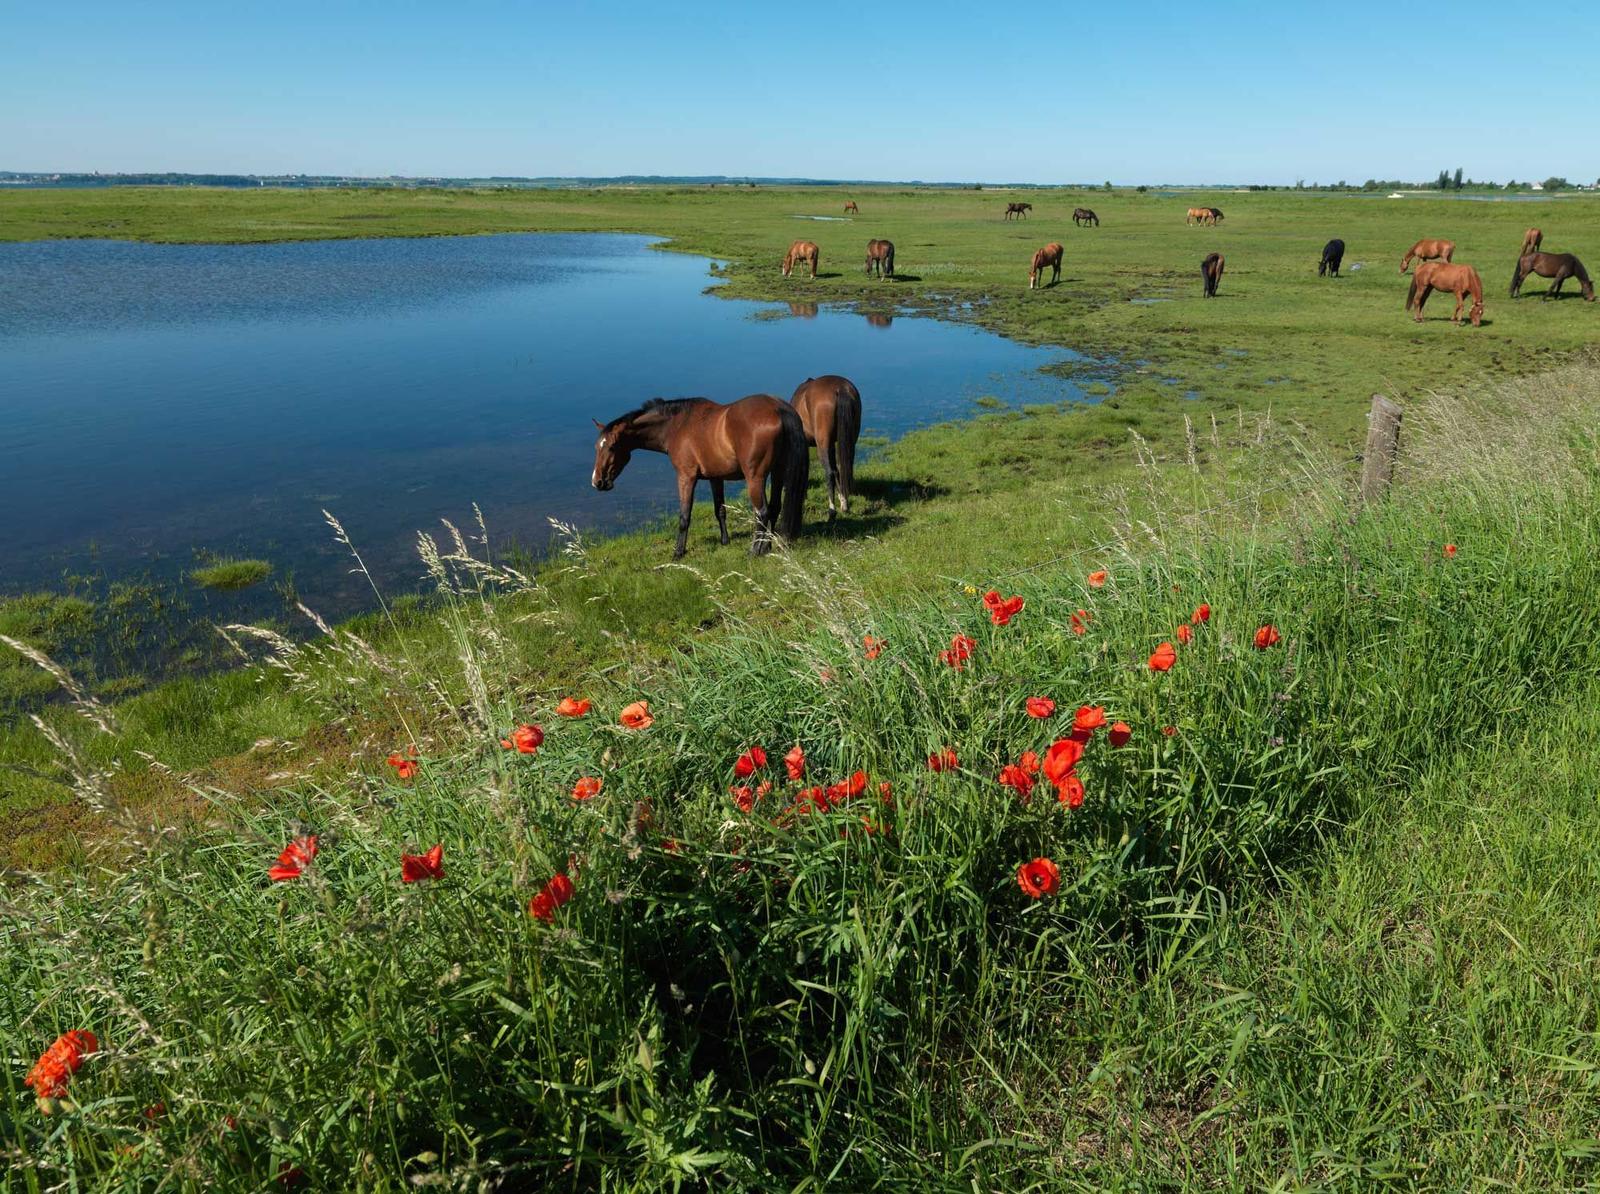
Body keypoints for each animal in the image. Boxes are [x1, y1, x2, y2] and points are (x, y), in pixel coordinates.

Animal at [592, 395, 809, 558]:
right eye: (597, 447)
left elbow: (684, 517)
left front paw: (678, 552)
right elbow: (720, 510)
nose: (597, 481)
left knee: (762, 512)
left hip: (755, 478)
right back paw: (767, 546)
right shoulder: (716, 478)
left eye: (611, 447)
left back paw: (755, 551)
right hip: (777, 472)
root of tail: (778, 408)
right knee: (774, 508)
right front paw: (724, 541)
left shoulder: (686, 477)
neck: (677, 425)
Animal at [790, 375, 862, 519]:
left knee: (829, 473)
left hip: (822, 444)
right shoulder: (833, 445)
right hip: (849, 441)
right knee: (842, 469)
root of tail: (841, 388)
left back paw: (832, 509)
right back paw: (844, 504)